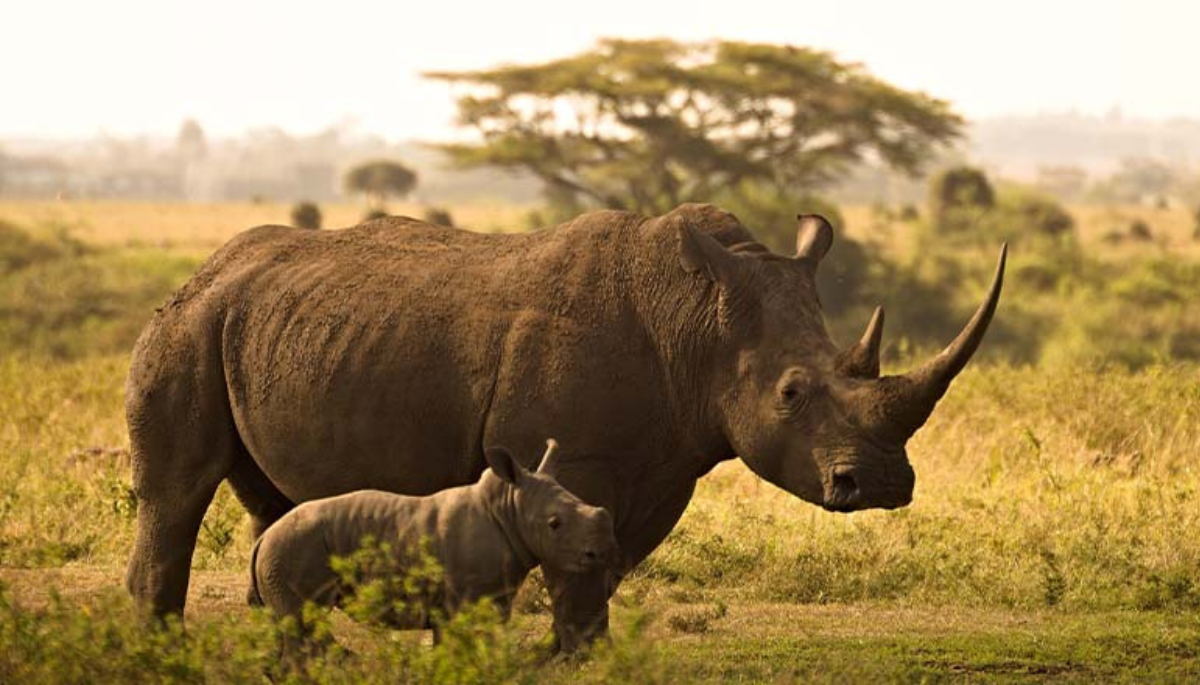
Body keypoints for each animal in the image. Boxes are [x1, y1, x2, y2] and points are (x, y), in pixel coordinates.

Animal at [249, 440, 618, 642]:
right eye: (554, 525)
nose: (602, 552)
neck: (508, 508)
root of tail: (264, 537)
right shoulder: (466, 600)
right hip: (292, 549)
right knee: (302, 624)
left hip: (285, 550)